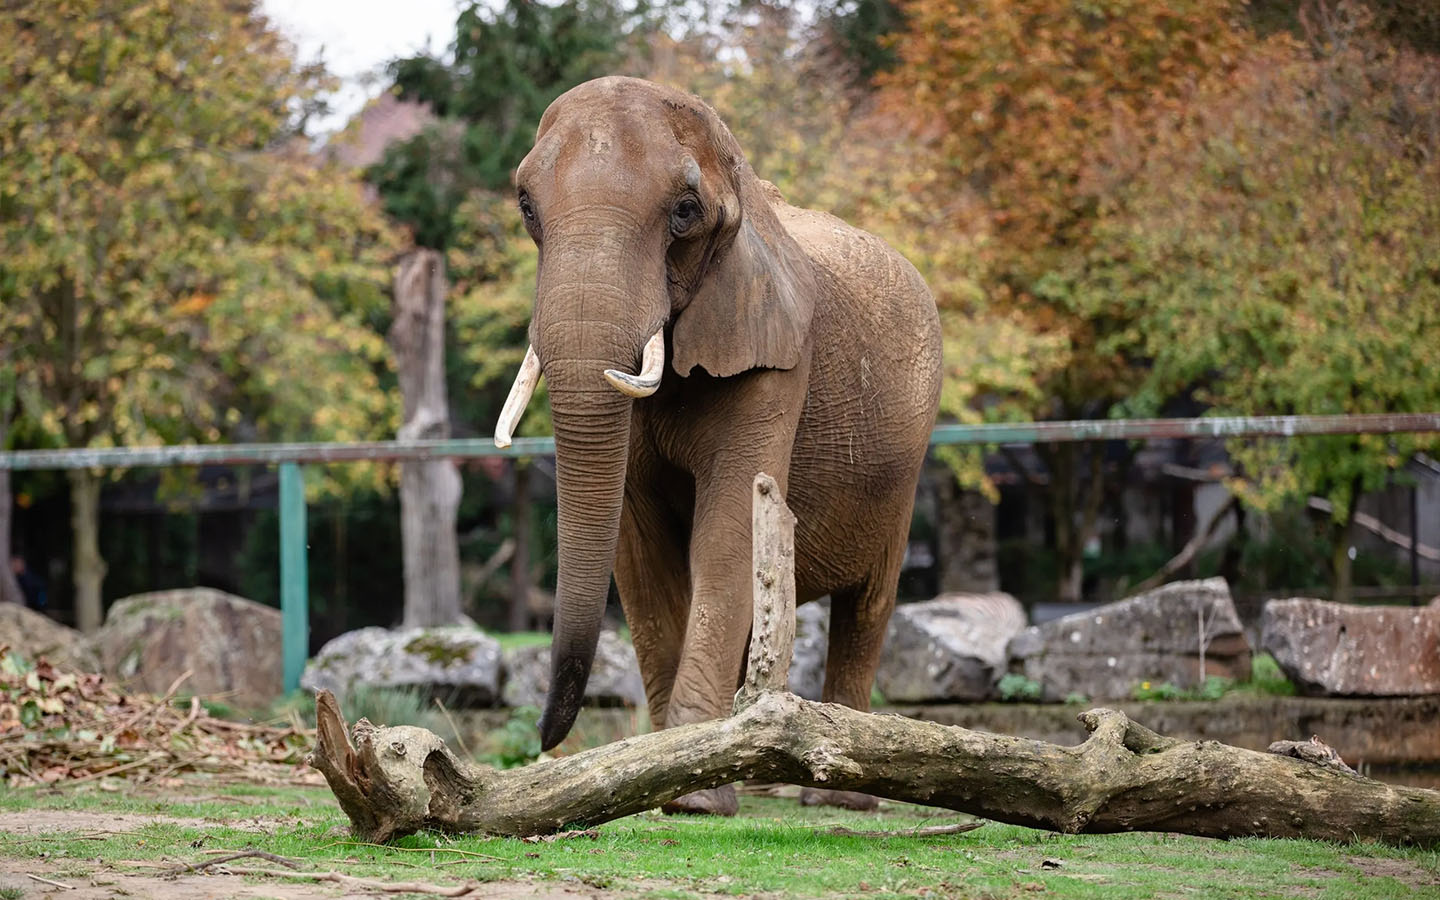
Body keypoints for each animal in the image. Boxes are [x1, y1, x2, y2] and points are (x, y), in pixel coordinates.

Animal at [495, 76, 942, 814]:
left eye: (684, 211)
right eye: (527, 206)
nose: (542, 739)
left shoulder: (780, 354)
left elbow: (729, 528)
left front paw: (693, 797)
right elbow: (641, 555)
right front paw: (664, 773)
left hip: (905, 466)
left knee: (868, 603)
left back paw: (836, 798)